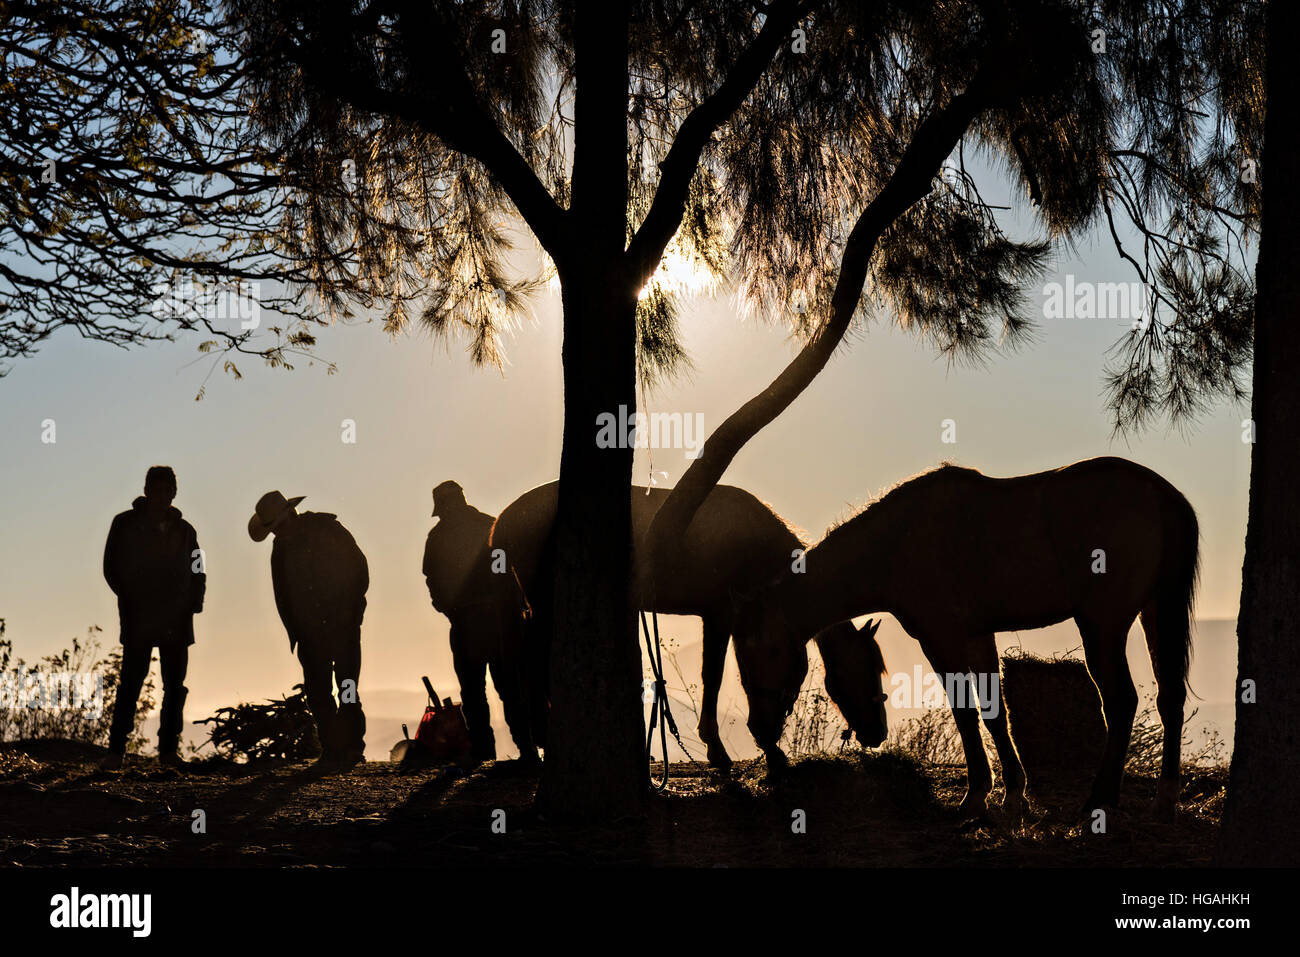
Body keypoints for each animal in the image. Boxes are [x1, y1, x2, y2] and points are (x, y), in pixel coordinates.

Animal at [488, 478, 894, 769]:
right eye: (868, 667)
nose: (878, 733)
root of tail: (502, 521)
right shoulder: (722, 615)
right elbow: (716, 677)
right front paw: (723, 749)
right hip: (543, 604)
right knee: (531, 663)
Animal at [733, 460, 1196, 816]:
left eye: (767, 652)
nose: (759, 727)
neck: (897, 540)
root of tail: (1161, 494)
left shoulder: (942, 640)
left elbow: (964, 711)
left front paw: (976, 796)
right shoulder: (978, 637)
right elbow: (993, 712)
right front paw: (1014, 795)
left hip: (1103, 625)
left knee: (1121, 702)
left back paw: (1100, 799)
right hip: (1157, 612)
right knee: (1169, 697)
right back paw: (1164, 801)